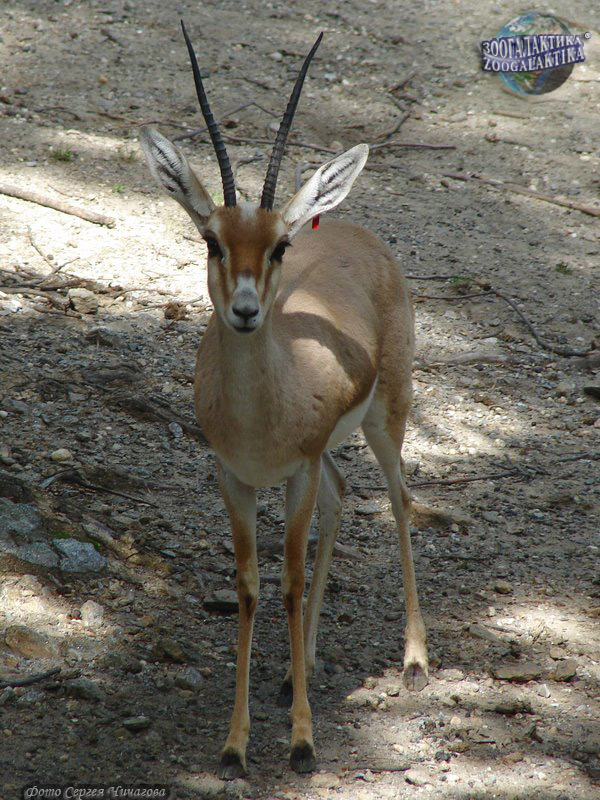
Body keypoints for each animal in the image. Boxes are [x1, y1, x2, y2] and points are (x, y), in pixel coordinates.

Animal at [139, 23, 429, 780]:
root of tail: (350, 228)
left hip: (388, 417)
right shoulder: (234, 477)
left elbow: (291, 583)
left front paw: (301, 743)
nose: (244, 311)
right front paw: (235, 745)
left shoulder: (290, 473)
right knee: (341, 493)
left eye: (278, 246)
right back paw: (306, 664)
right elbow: (250, 587)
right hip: (327, 452)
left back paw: (415, 661)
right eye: (212, 239)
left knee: (396, 498)